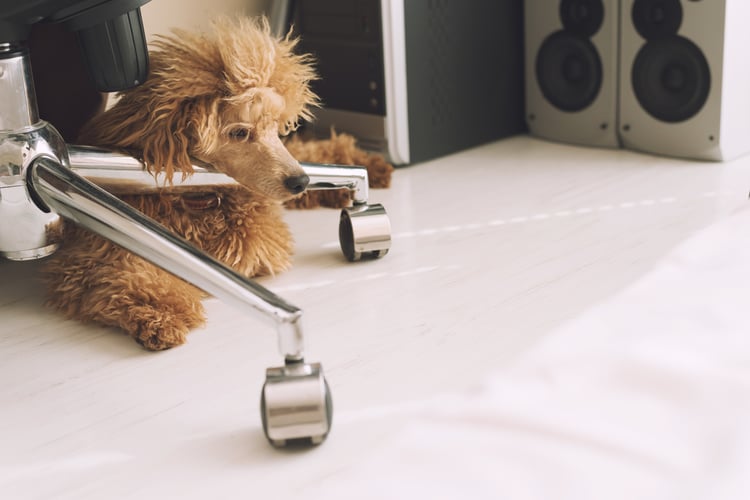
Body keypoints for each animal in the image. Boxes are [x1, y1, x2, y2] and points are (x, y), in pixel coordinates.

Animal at [40, 16, 390, 352]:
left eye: (275, 128)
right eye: (239, 132)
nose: (300, 182)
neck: (197, 198)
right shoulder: (92, 255)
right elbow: (130, 274)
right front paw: (160, 314)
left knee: (310, 152)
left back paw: (366, 169)